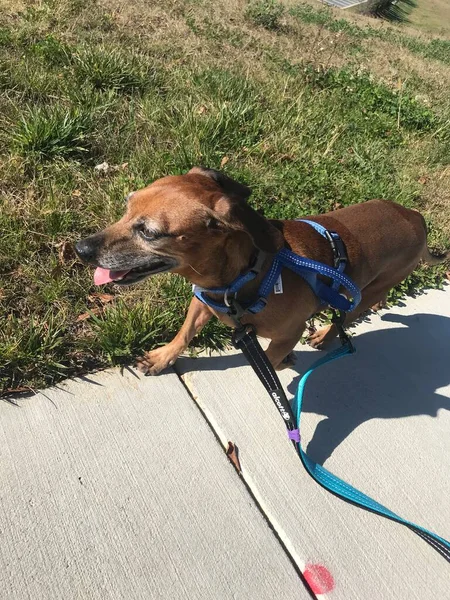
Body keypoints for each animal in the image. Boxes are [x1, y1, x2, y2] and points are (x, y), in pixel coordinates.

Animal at [75, 169, 448, 372]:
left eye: (149, 232)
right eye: (126, 206)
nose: (81, 250)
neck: (246, 275)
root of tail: (416, 218)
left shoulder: (285, 334)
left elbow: (269, 358)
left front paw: (282, 363)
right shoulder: (201, 302)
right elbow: (184, 334)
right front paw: (161, 358)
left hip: (372, 289)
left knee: (352, 312)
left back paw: (326, 335)